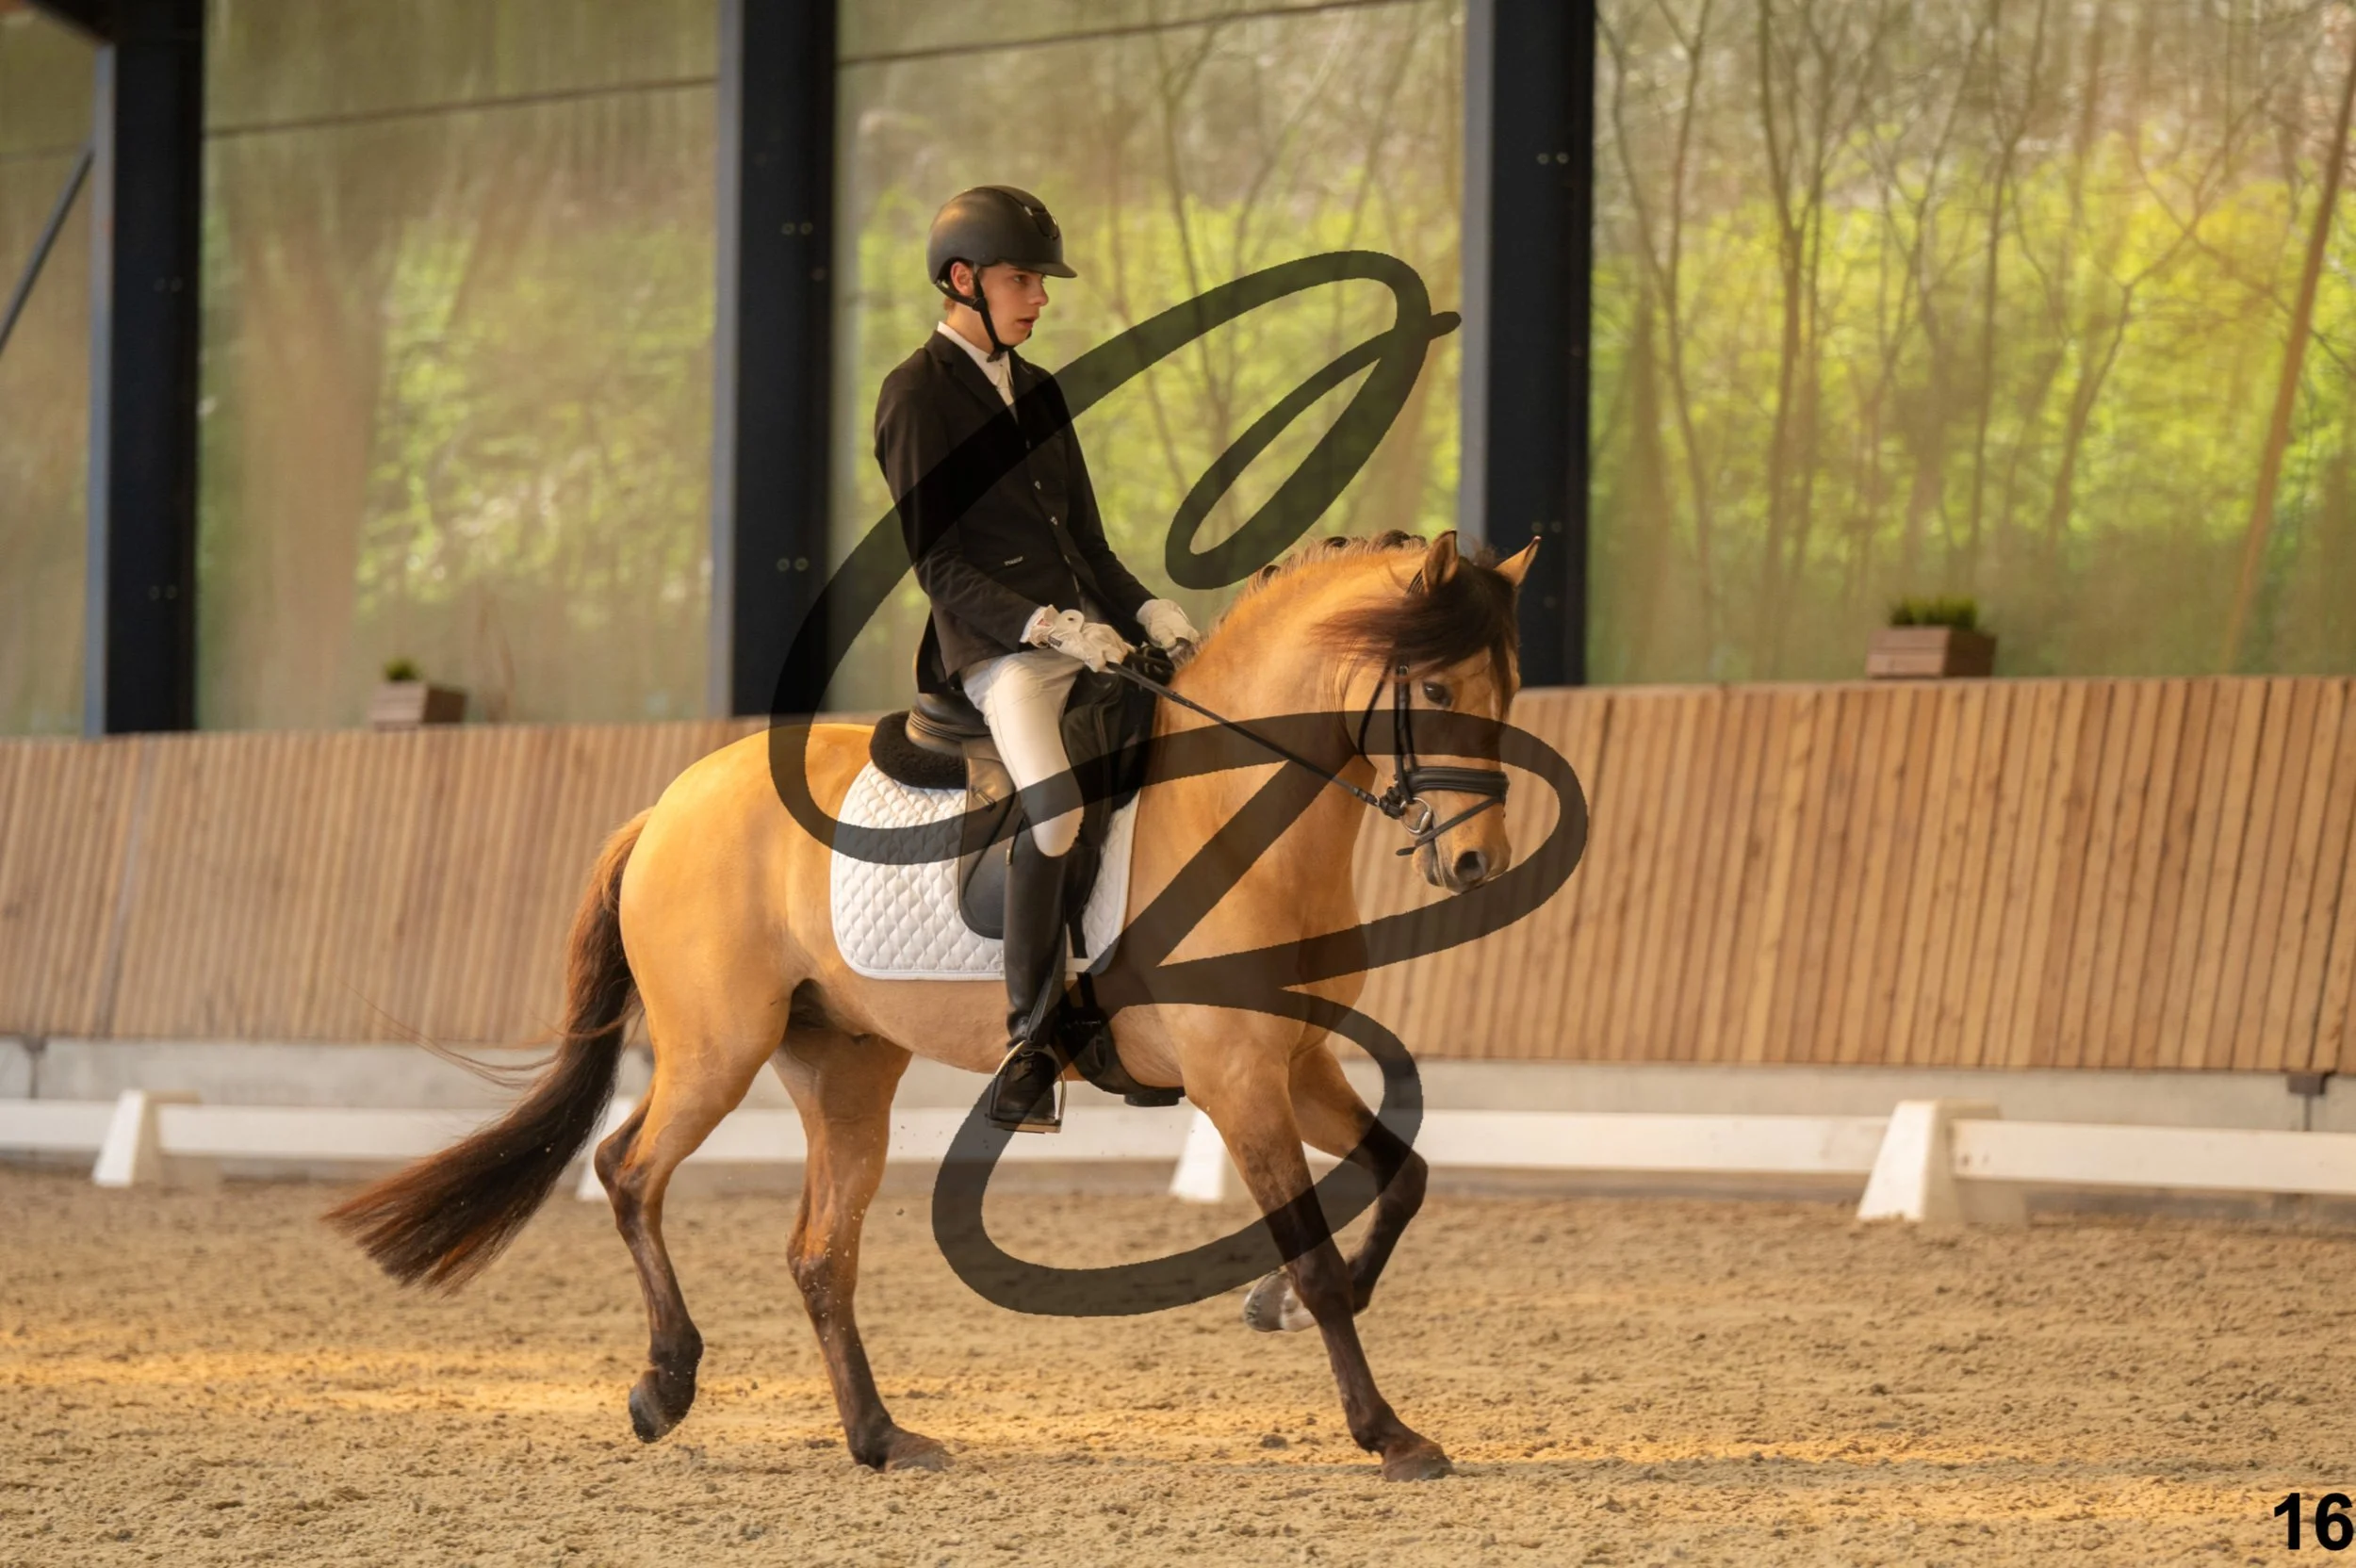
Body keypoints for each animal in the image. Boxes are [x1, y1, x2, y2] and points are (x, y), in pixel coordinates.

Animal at [329, 528, 1536, 1483]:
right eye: (1435, 692)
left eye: (1508, 694)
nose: (1477, 863)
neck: (1234, 811)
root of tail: (670, 801)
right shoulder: (1237, 1078)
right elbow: (1317, 1251)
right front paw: (1387, 1430)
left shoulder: (1297, 1060)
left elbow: (1402, 1174)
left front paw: (1275, 1308)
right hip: (717, 1048)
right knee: (629, 1170)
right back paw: (665, 1386)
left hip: (844, 1065)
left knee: (820, 1251)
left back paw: (880, 1437)